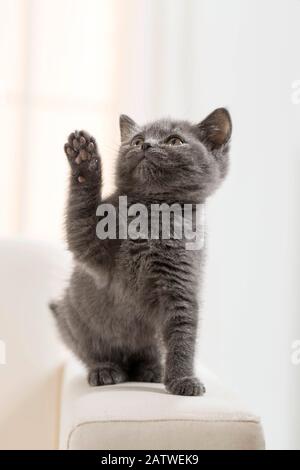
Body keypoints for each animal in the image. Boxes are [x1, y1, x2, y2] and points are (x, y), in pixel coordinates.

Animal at [50, 108, 231, 394]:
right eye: (136, 141)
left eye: (174, 141)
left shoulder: (180, 283)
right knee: (93, 353)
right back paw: (105, 370)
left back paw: (151, 370)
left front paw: (182, 380)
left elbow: (183, 334)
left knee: (147, 354)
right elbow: (80, 215)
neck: (151, 214)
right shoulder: (91, 246)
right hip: (74, 319)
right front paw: (83, 159)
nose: (146, 145)